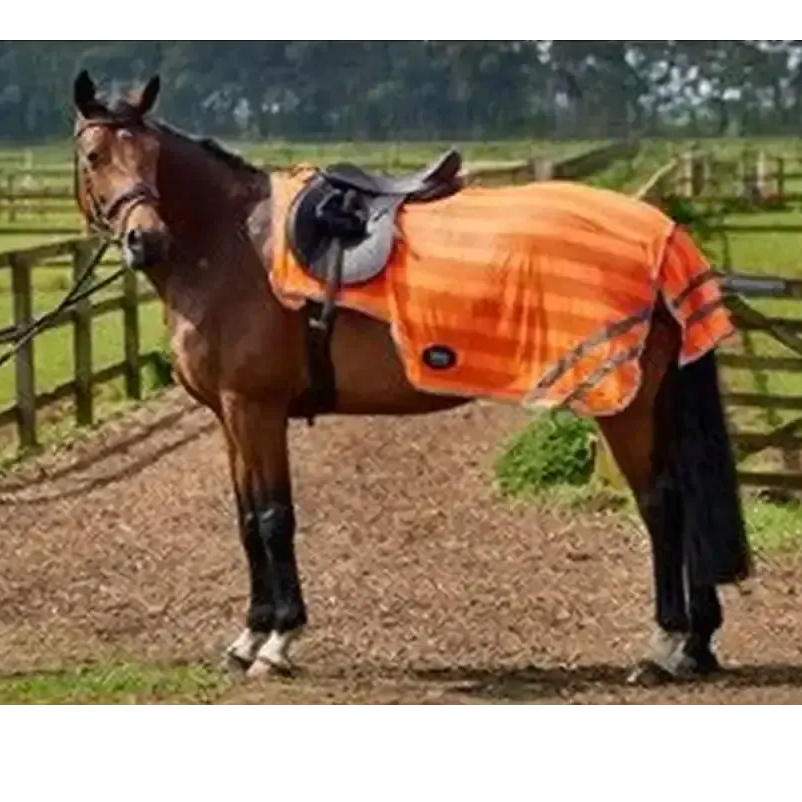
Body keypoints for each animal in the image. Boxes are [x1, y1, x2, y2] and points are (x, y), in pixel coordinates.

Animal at [69, 69, 753, 683]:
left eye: (152, 156)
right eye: (95, 155)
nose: (145, 239)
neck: (233, 247)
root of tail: (663, 236)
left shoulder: (255, 409)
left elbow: (273, 517)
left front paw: (279, 640)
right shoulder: (229, 416)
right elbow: (245, 520)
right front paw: (249, 635)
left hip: (624, 405)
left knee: (662, 505)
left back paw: (663, 649)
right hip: (652, 402)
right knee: (683, 502)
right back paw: (695, 646)